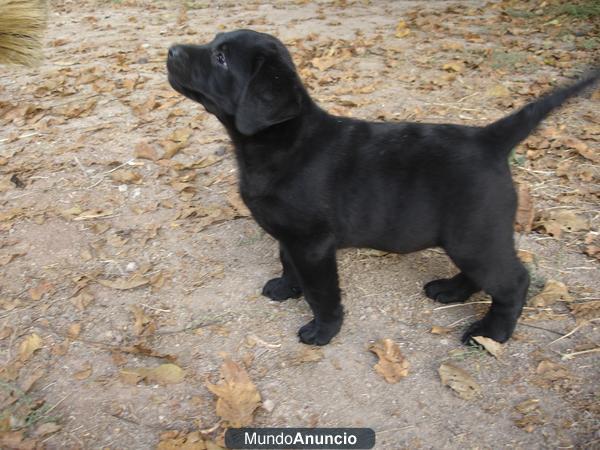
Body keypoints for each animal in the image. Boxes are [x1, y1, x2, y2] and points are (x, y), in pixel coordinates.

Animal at [166, 29, 596, 346]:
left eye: (221, 58)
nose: (171, 49)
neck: (281, 141)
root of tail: (489, 139)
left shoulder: (313, 244)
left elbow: (323, 292)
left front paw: (323, 330)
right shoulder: (291, 236)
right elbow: (286, 261)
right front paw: (287, 287)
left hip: (473, 234)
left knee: (513, 281)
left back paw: (490, 334)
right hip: (471, 235)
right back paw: (451, 291)